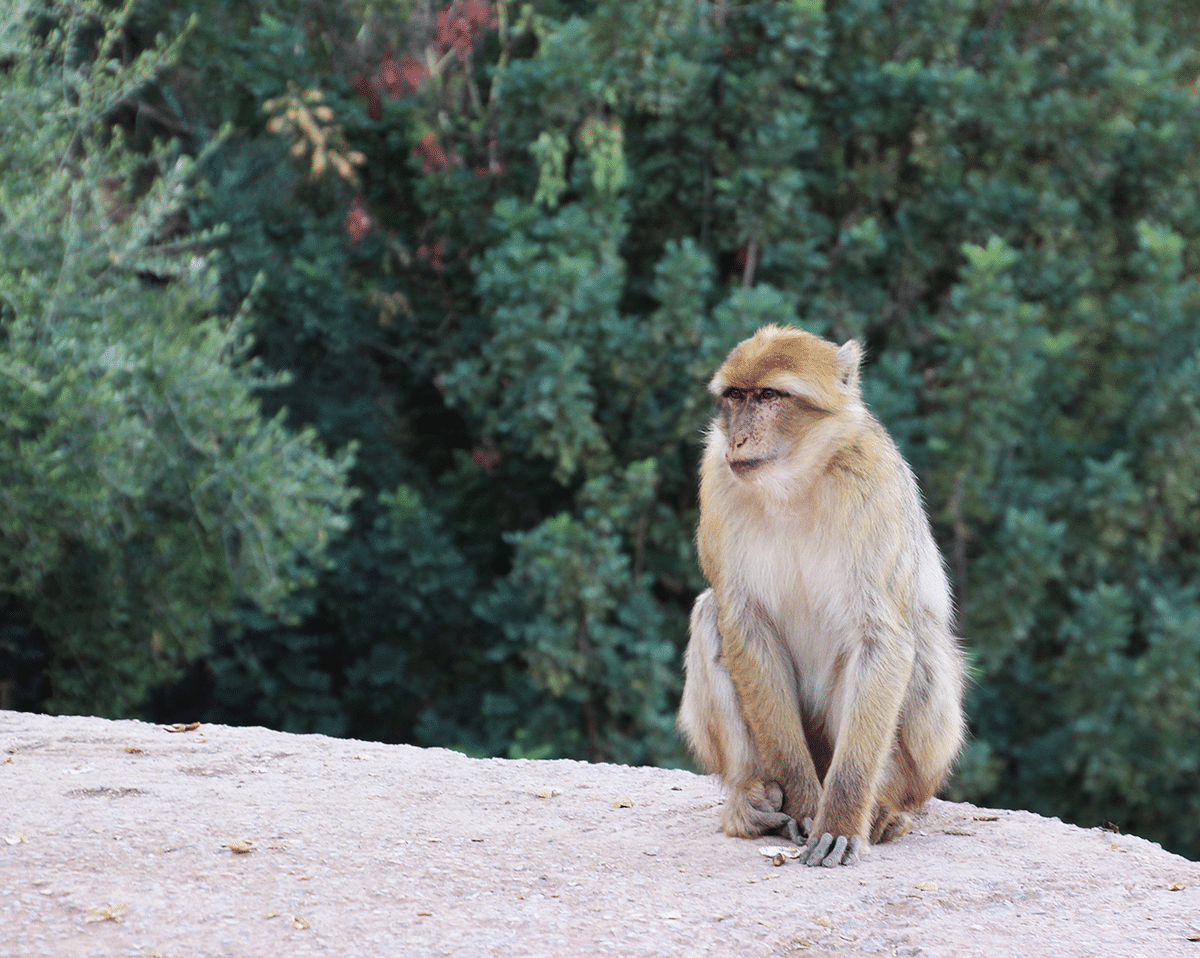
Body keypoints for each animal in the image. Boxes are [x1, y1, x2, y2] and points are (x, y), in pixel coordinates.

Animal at [676, 324, 964, 869]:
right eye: (735, 396)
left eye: (769, 396)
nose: (737, 437)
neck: (793, 481)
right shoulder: (716, 476)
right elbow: (742, 622)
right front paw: (806, 805)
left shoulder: (873, 485)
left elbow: (883, 637)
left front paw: (839, 821)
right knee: (709, 613)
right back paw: (751, 800)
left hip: (919, 764)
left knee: (919, 644)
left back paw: (885, 809)